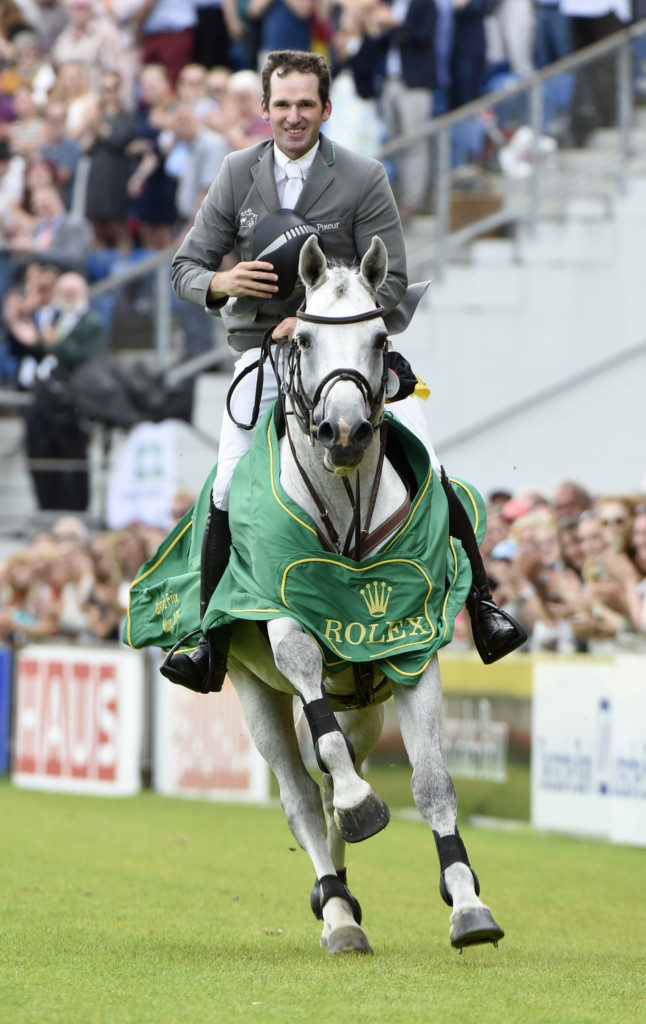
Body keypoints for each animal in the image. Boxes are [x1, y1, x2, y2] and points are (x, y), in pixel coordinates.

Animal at [225, 235, 507, 954]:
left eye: (381, 338)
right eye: (302, 339)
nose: (346, 433)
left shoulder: (412, 645)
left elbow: (432, 783)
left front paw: (468, 904)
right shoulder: (281, 618)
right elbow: (320, 744)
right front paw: (361, 809)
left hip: (364, 705)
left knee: (330, 776)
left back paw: (343, 899)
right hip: (253, 691)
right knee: (302, 793)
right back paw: (337, 914)